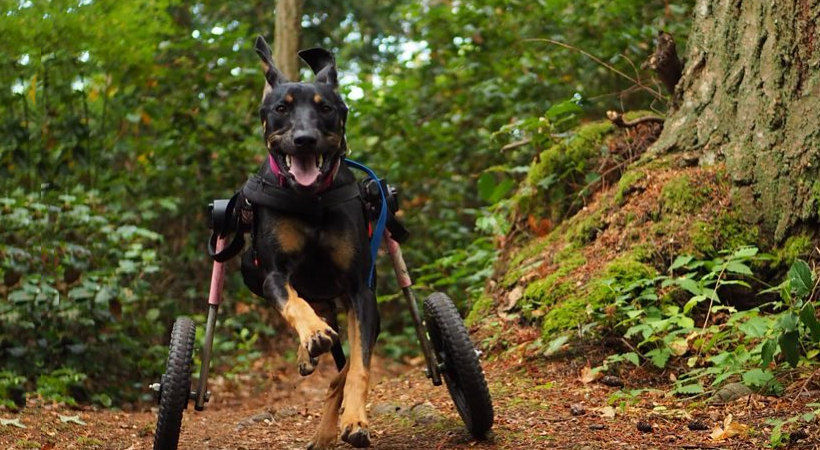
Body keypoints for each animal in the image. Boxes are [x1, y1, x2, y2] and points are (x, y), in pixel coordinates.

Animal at [237, 36, 378, 450]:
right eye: (281, 108)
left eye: (326, 108)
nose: (304, 140)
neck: (310, 199)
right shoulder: (273, 274)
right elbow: (292, 303)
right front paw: (312, 335)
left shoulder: (361, 292)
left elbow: (358, 367)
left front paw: (355, 420)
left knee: (342, 370)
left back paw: (329, 428)